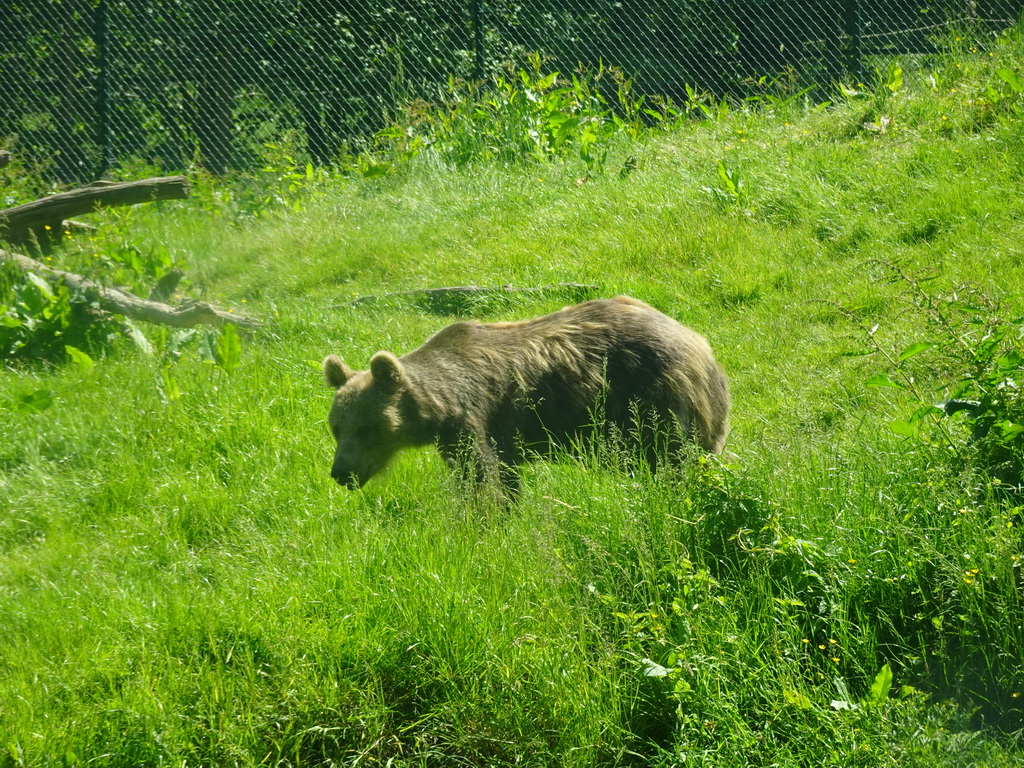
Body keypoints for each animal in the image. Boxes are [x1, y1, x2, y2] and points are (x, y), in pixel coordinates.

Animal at [321, 294, 729, 499]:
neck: (440, 406)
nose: (341, 472)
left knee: (670, 458)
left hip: (654, 399)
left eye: (367, 428)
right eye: (336, 428)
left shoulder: (475, 423)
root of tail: (700, 343)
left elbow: (482, 480)